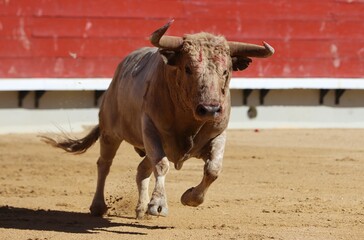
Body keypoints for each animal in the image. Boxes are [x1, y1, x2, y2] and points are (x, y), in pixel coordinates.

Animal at [42, 21, 272, 219]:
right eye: (188, 68)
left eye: (226, 71)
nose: (210, 109)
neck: (189, 119)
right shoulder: (151, 129)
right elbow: (161, 166)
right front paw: (158, 205)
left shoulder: (218, 134)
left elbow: (213, 169)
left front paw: (189, 198)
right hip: (110, 133)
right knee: (104, 164)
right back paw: (99, 206)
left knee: (141, 169)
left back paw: (140, 208)